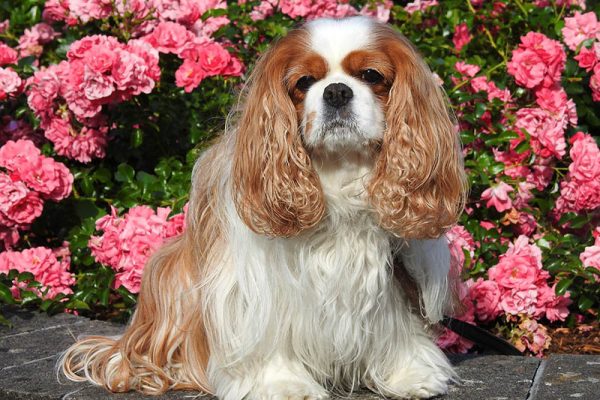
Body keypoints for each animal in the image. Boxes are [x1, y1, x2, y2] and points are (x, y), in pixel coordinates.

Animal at [58, 16, 466, 400]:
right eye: (304, 82)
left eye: (370, 75)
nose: (336, 91)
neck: (339, 169)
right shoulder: (258, 284)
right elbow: (269, 333)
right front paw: (282, 384)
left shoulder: (396, 273)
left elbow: (399, 324)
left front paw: (408, 372)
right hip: (171, 275)